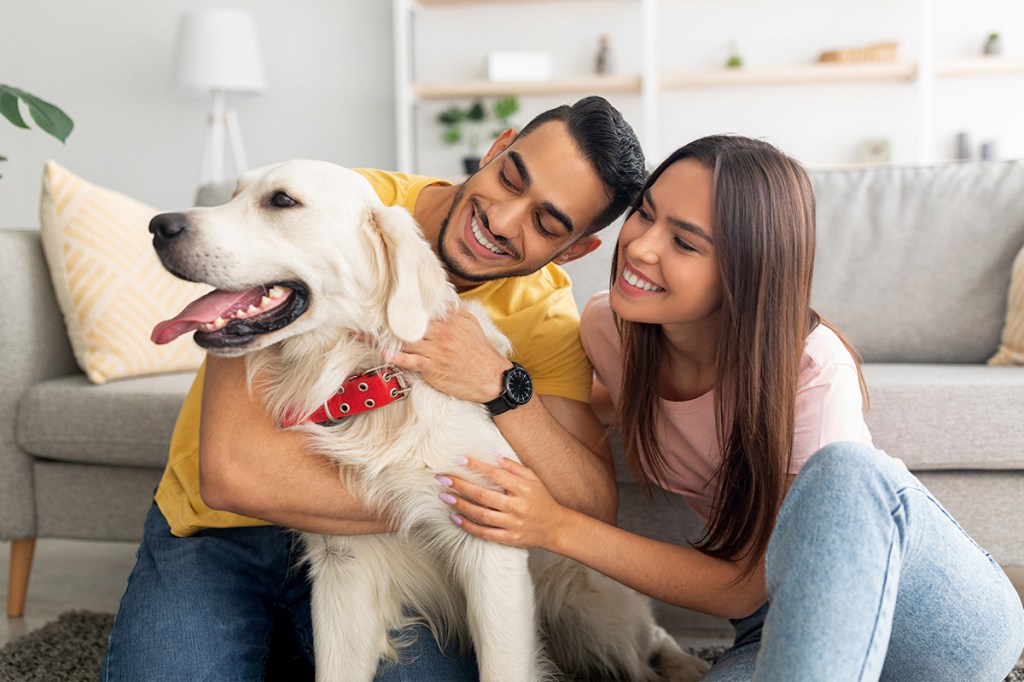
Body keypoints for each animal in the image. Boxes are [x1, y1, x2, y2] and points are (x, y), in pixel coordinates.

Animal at [149, 160, 712, 679]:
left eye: (282, 201)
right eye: (233, 194)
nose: (158, 224)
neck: (377, 383)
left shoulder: (493, 542)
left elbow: (503, 667)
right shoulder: (342, 567)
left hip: (585, 604)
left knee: (647, 644)